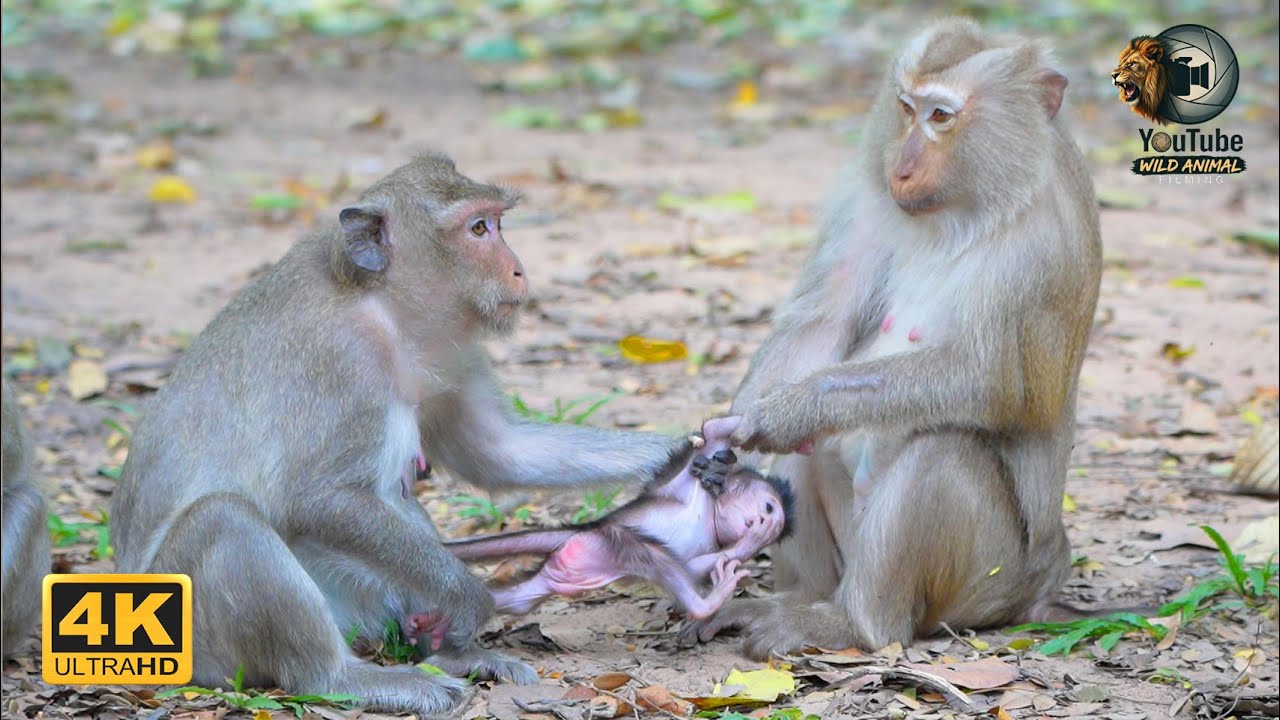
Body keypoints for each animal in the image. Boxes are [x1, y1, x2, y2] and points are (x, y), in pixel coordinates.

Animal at [110, 153, 699, 717]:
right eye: (478, 229)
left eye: (497, 223)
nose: (518, 270)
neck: (380, 302)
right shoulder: (343, 361)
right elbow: (323, 498)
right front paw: (471, 600)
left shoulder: (451, 352)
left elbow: (495, 452)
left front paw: (678, 451)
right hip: (195, 634)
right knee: (225, 518)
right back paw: (346, 677)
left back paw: (457, 656)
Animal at [446, 416, 794, 620]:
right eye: (768, 508)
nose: (767, 525)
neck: (709, 513)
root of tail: (584, 528)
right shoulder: (683, 486)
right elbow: (714, 432)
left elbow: (694, 565)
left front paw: (747, 546)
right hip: (612, 539)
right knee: (650, 555)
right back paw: (706, 604)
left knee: (513, 599)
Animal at [682, 19, 1102, 659]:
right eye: (906, 108)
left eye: (941, 116)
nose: (900, 169)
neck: (964, 208)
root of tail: (1039, 590)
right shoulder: (867, 202)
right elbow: (823, 322)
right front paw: (735, 438)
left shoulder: (1041, 248)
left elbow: (991, 382)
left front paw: (791, 409)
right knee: (809, 453)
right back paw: (798, 599)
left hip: (983, 585)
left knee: (941, 445)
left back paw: (853, 626)